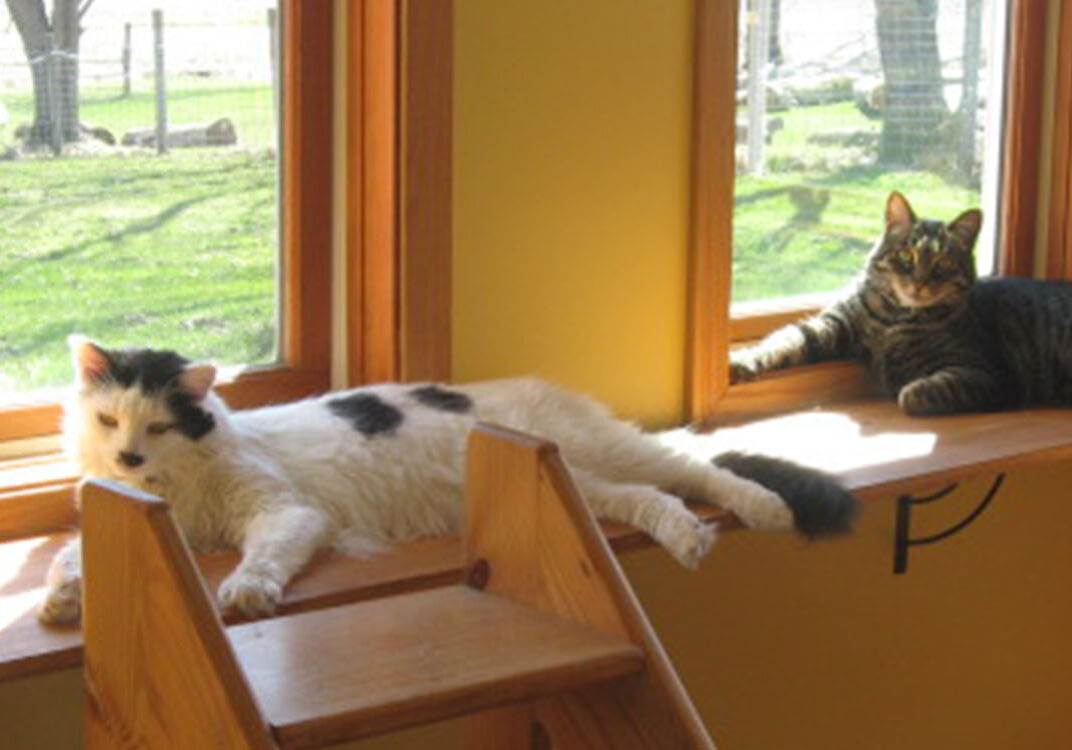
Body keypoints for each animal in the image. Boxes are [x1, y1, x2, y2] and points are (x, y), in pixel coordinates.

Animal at [37, 338, 853, 621]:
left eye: (158, 428)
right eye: (110, 420)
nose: (126, 461)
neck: (174, 492)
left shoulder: (285, 514)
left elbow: (259, 560)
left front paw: (243, 591)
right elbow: (67, 558)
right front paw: (60, 603)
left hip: (616, 454)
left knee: (701, 470)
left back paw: (763, 509)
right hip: (591, 485)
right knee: (658, 500)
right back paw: (686, 541)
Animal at [733, 191, 1072, 415]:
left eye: (943, 263)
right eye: (906, 255)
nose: (919, 283)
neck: (894, 317)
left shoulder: (991, 375)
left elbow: (924, 390)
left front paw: (909, 390)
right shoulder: (833, 325)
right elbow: (783, 340)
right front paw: (743, 359)